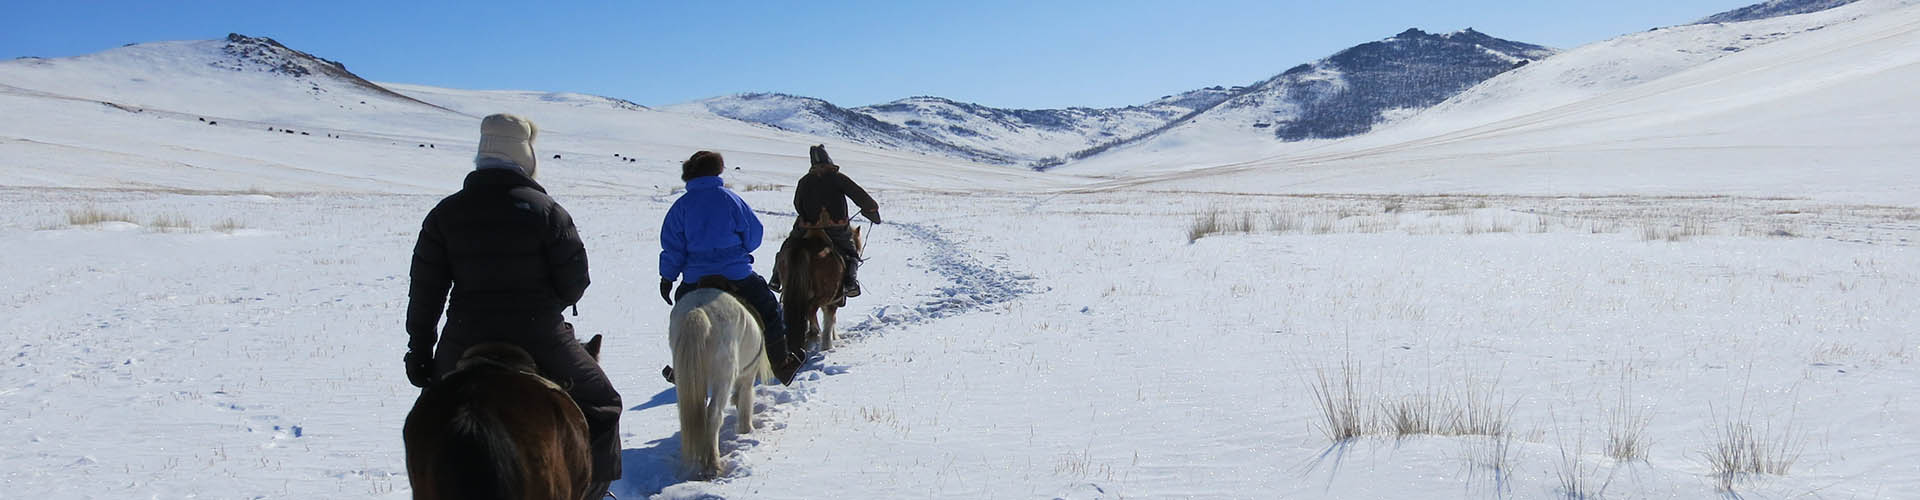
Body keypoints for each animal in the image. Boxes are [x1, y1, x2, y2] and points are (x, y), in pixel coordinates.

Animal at [668, 288, 771, 480]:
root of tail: (698, 308)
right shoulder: (748, 377)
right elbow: (745, 404)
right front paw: (747, 431)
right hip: (724, 375)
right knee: (714, 414)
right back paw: (713, 465)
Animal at [779, 215, 871, 351]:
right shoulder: (834, 300)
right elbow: (830, 320)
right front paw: (828, 344)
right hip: (825, 294)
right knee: (811, 309)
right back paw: (814, 333)